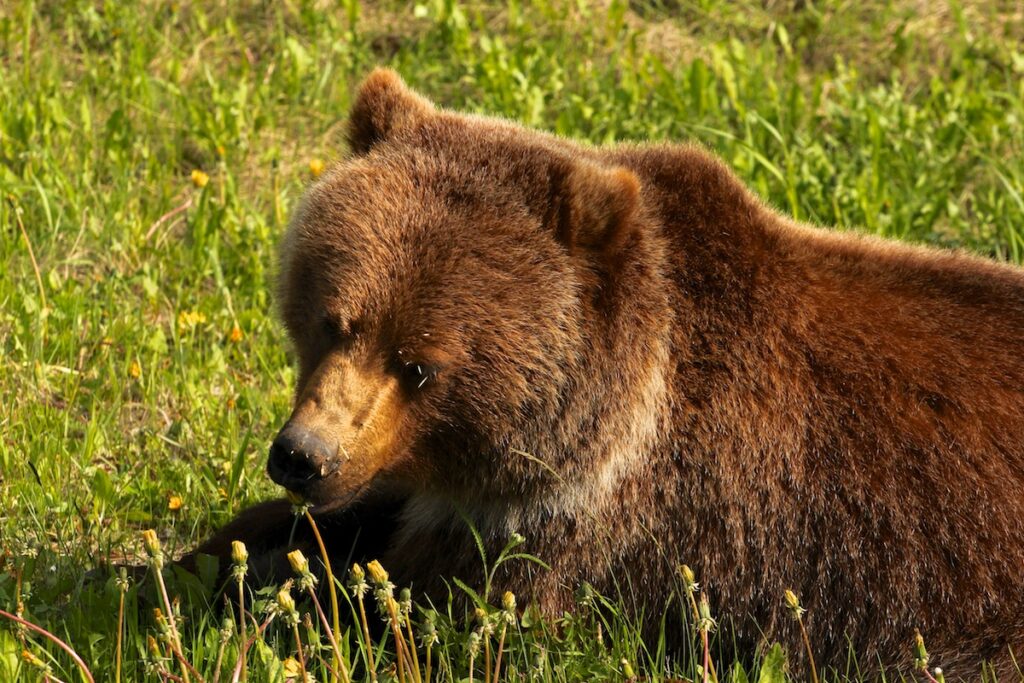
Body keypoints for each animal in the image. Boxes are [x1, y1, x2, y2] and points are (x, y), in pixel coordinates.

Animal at [188, 69, 1024, 679]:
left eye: (419, 365)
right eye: (332, 319)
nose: (304, 455)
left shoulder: (606, 536)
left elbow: (428, 610)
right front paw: (221, 554)